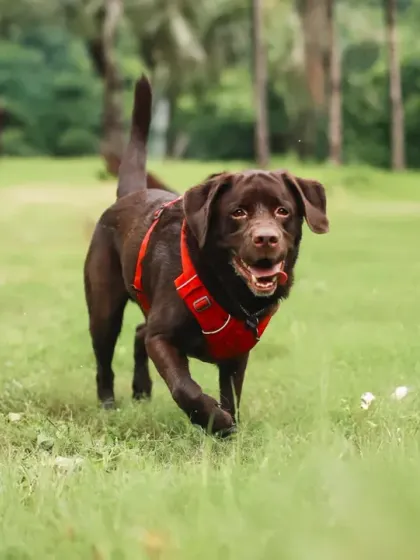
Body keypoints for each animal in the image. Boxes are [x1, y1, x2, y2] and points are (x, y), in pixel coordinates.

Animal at [84, 76, 329, 436]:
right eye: (238, 212)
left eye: (283, 210)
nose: (266, 238)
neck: (228, 289)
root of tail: (131, 194)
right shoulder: (163, 337)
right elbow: (184, 387)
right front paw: (216, 421)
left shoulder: (237, 354)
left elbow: (231, 393)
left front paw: (230, 426)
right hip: (104, 308)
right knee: (106, 357)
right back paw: (108, 405)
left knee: (139, 332)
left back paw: (142, 391)